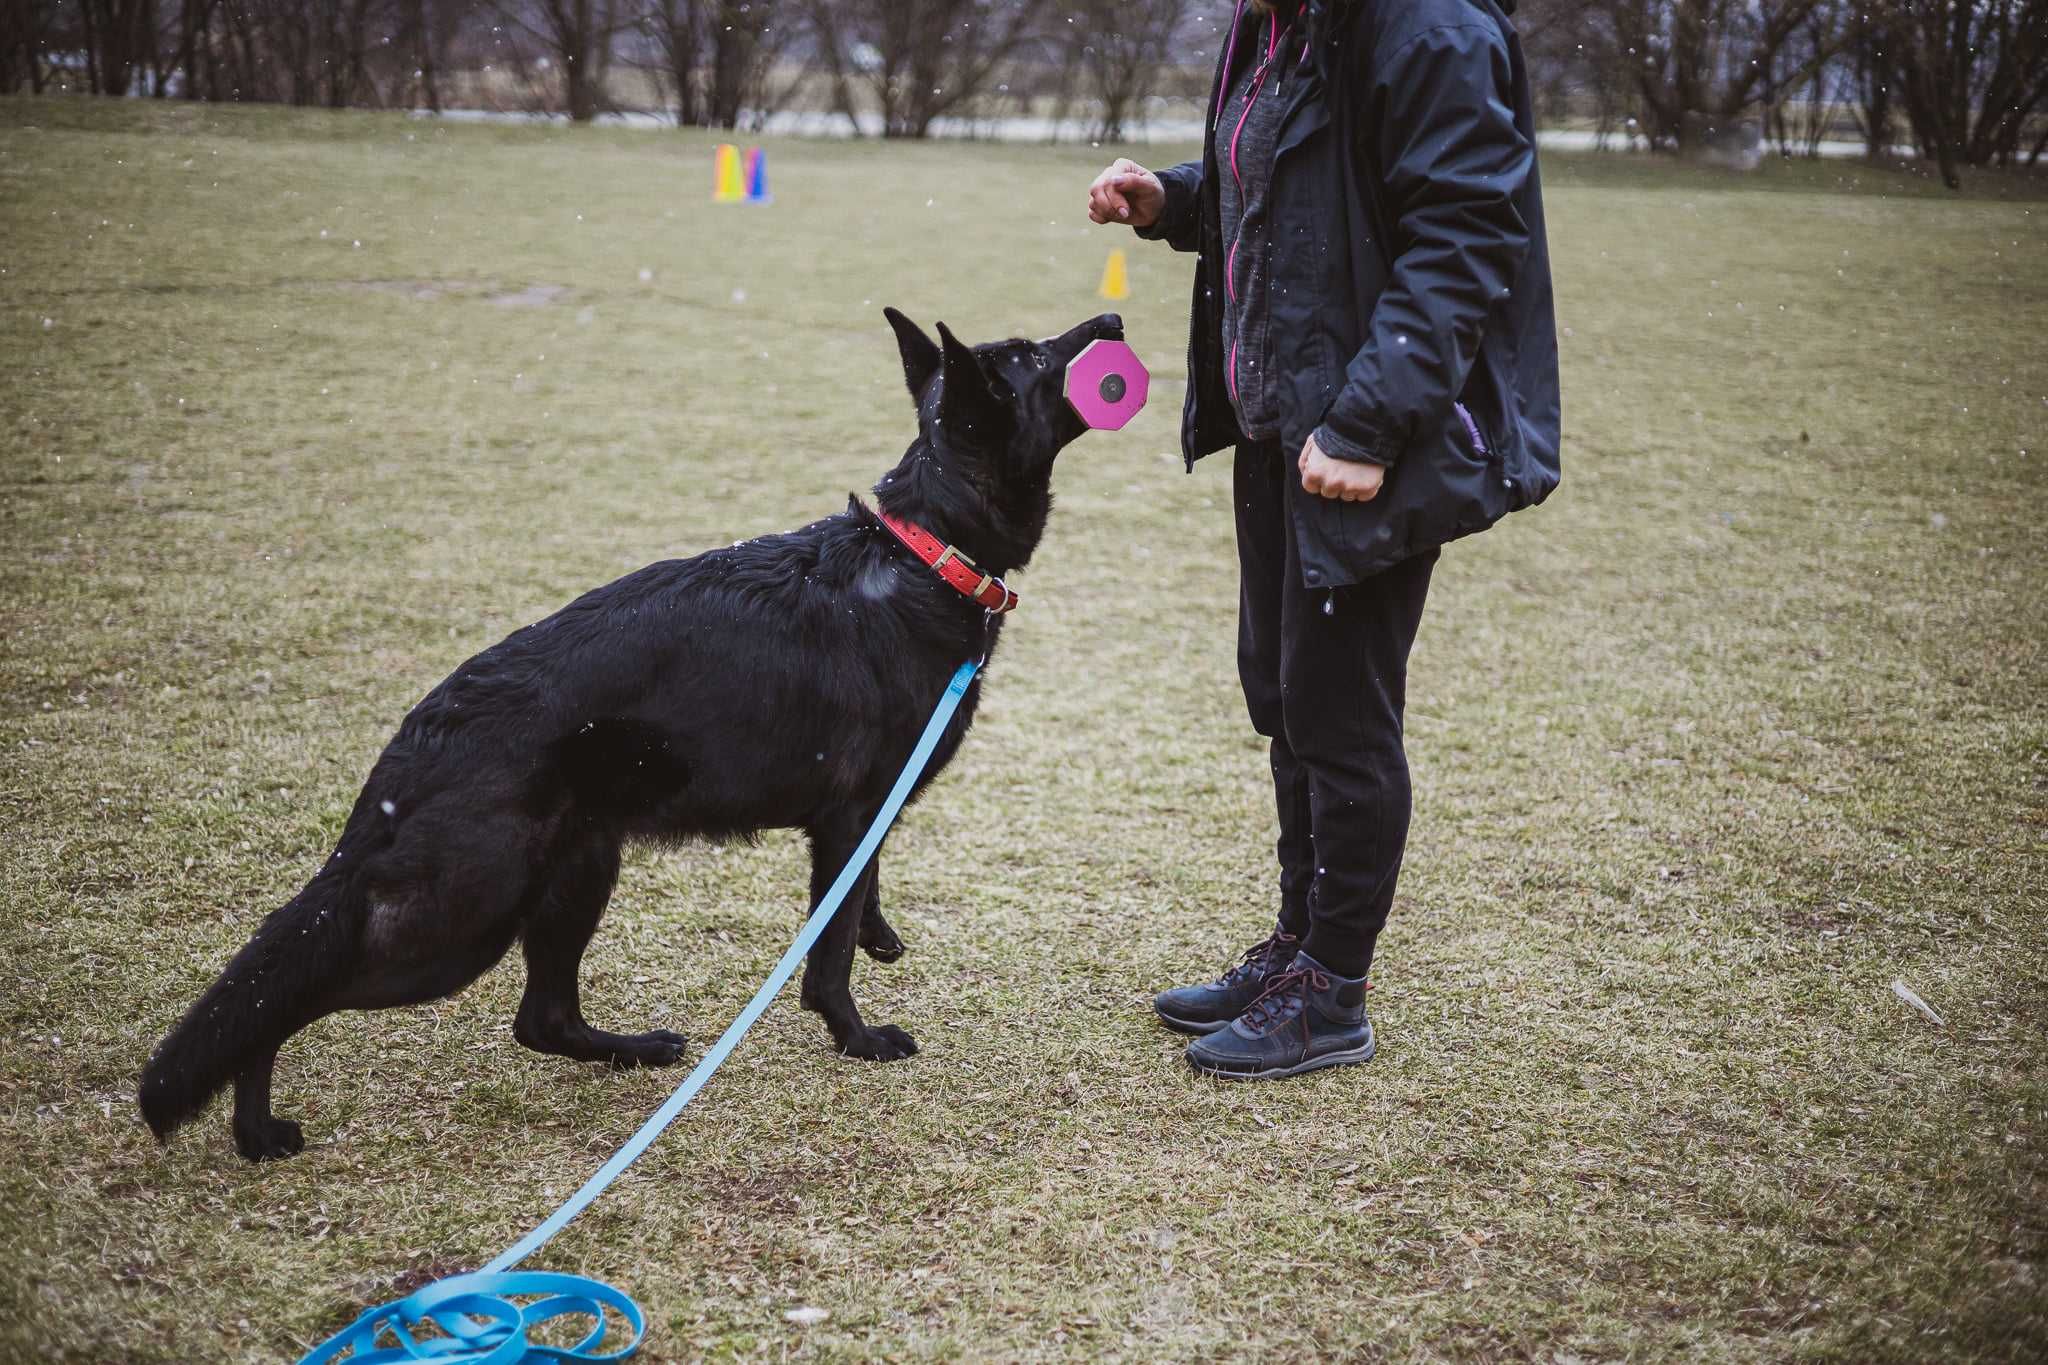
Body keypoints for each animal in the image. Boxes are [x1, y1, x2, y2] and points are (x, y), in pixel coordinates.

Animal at [136, 309, 1130, 1162]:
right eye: (1033, 357)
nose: (1114, 321)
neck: (923, 555)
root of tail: (417, 740)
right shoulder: (848, 815)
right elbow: (828, 951)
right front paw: (855, 1035)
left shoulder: (860, 818)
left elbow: (859, 903)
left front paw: (882, 935)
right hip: (461, 922)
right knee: (292, 999)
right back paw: (256, 1126)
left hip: (577, 868)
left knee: (540, 1019)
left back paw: (634, 1050)